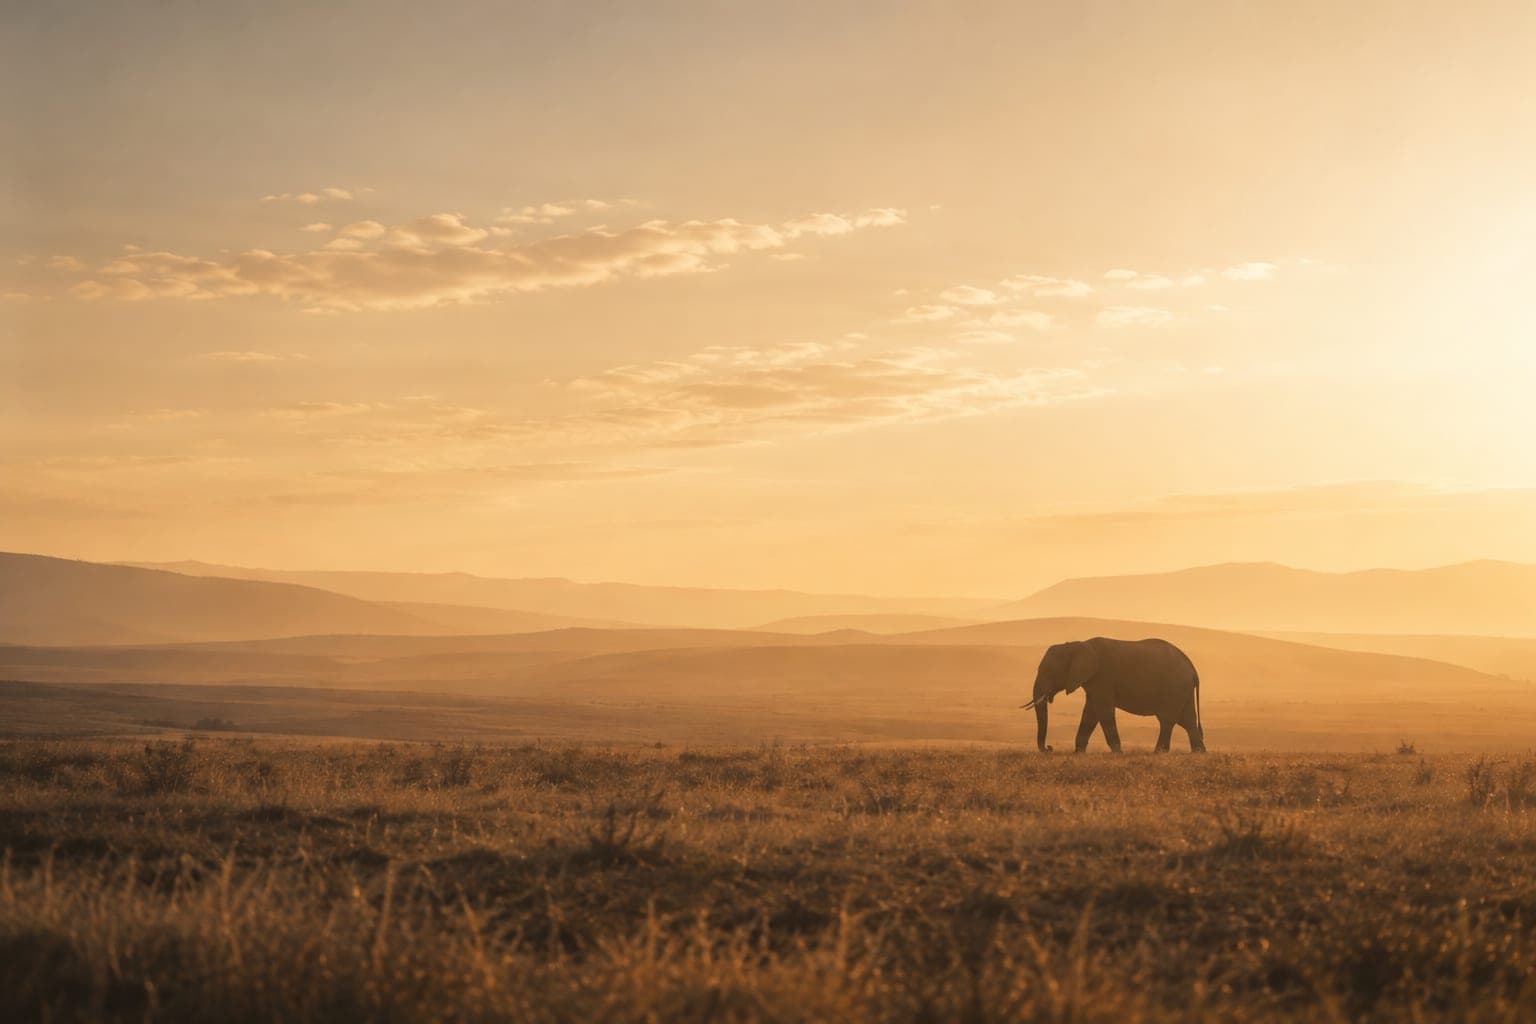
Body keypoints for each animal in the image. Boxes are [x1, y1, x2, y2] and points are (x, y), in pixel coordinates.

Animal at [1020, 637, 1205, 753]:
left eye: (1049, 672)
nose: (1049, 748)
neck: (1075, 645)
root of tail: (1192, 668)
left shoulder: (1103, 677)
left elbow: (1104, 712)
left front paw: (1118, 752)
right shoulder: (1093, 682)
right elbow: (1090, 713)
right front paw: (1078, 753)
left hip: (1175, 687)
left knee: (1167, 720)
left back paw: (1159, 753)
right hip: (1182, 690)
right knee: (1187, 721)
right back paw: (1198, 753)